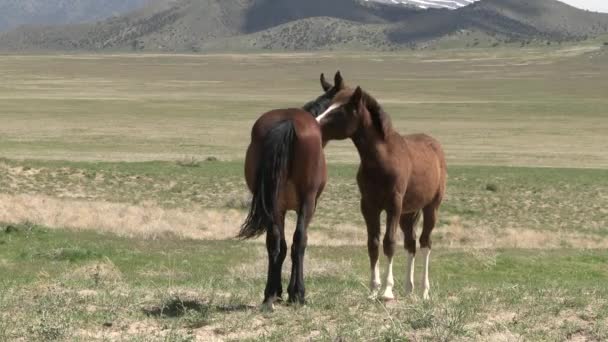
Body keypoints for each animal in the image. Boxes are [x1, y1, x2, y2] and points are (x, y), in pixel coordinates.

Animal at [240, 71, 346, 308]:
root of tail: (287, 122)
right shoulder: (306, 205)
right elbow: (297, 242)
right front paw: (293, 292)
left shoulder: (279, 208)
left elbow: (280, 245)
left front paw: (277, 291)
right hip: (307, 203)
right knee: (300, 241)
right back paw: (298, 293)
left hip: (272, 204)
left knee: (274, 242)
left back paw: (269, 294)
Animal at [316, 85, 444, 300]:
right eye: (328, 105)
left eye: (341, 110)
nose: (316, 125)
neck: (382, 158)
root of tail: (435, 146)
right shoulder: (369, 206)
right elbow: (373, 244)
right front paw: (373, 289)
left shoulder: (393, 205)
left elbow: (389, 242)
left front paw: (387, 290)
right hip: (408, 213)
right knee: (411, 243)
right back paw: (408, 289)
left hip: (430, 207)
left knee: (425, 242)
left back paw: (424, 291)